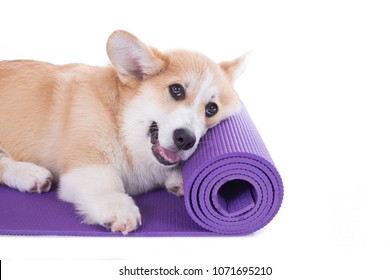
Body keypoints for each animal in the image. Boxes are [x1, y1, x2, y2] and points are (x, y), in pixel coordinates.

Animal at [0, 30, 247, 234]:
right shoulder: (87, 163)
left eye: (211, 108)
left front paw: (178, 179)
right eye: (176, 90)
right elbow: (107, 184)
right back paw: (30, 173)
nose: (185, 139)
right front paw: (118, 207)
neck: (123, 124)